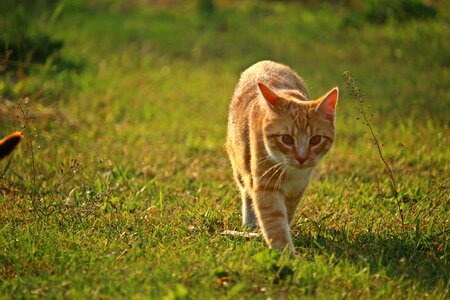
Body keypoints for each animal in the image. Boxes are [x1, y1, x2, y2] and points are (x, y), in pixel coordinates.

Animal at [229, 59, 338, 254]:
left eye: (315, 140)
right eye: (287, 139)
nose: (302, 158)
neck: (290, 173)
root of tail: (265, 62)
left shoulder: (298, 187)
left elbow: (286, 214)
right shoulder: (265, 185)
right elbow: (274, 221)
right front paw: (284, 254)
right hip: (240, 167)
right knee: (246, 194)